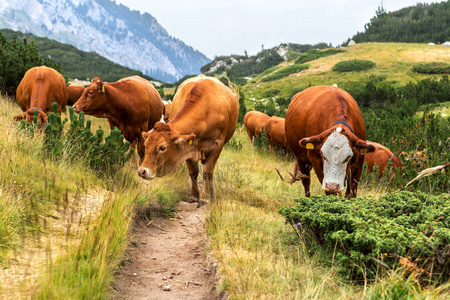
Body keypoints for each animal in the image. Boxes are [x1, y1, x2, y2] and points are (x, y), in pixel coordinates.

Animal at [137, 74, 239, 204]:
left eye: (162, 147)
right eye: (146, 145)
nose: (142, 171)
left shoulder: (218, 145)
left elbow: (208, 172)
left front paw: (207, 196)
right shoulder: (188, 147)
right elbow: (193, 172)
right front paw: (194, 196)